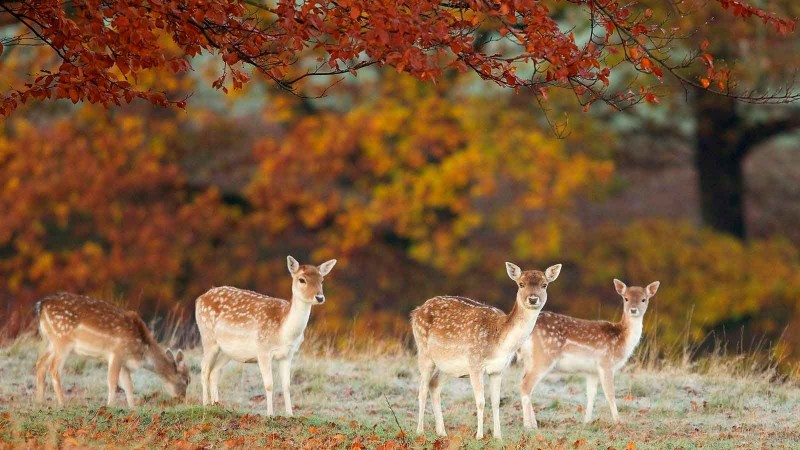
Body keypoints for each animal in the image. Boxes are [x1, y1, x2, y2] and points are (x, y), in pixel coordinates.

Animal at [35, 292, 191, 408]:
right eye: (187, 380)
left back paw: (40, 402)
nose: (182, 399)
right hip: (62, 340)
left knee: (40, 363)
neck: (142, 348)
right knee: (54, 369)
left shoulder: (124, 361)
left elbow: (128, 384)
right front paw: (110, 405)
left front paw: (132, 407)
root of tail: (42, 305)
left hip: (51, 342)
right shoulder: (116, 352)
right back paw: (62, 403)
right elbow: (113, 381)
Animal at [195, 255, 336, 414]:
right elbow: (269, 384)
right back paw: (205, 404)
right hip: (208, 337)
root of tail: (199, 299)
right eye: (302, 279)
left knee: (214, 371)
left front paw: (290, 414)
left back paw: (217, 405)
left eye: (321, 280)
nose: (320, 297)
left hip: (227, 351)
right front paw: (270, 414)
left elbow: (287, 385)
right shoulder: (263, 350)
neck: (283, 332)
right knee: (204, 369)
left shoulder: (288, 354)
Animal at [412, 262, 564, 438]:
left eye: (544, 285)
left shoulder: (498, 370)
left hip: (448, 366)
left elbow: (496, 402)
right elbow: (480, 401)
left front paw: (498, 436)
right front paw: (479, 436)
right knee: (422, 390)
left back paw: (442, 432)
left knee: (434, 385)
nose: (533, 299)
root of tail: (416, 311)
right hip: (423, 351)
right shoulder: (475, 363)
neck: (499, 343)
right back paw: (420, 431)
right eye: (521, 284)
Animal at [516, 278, 660, 428]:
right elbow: (610, 393)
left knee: (524, 384)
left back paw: (534, 423)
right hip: (544, 356)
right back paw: (529, 426)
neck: (622, 340)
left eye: (643, 299)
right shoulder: (606, 363)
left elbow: (591, 395)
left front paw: (587, 421)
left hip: (529, 360)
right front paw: (618, 422)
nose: (633, 309)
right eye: (626, 298)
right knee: (525, 385)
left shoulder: (592, 371)